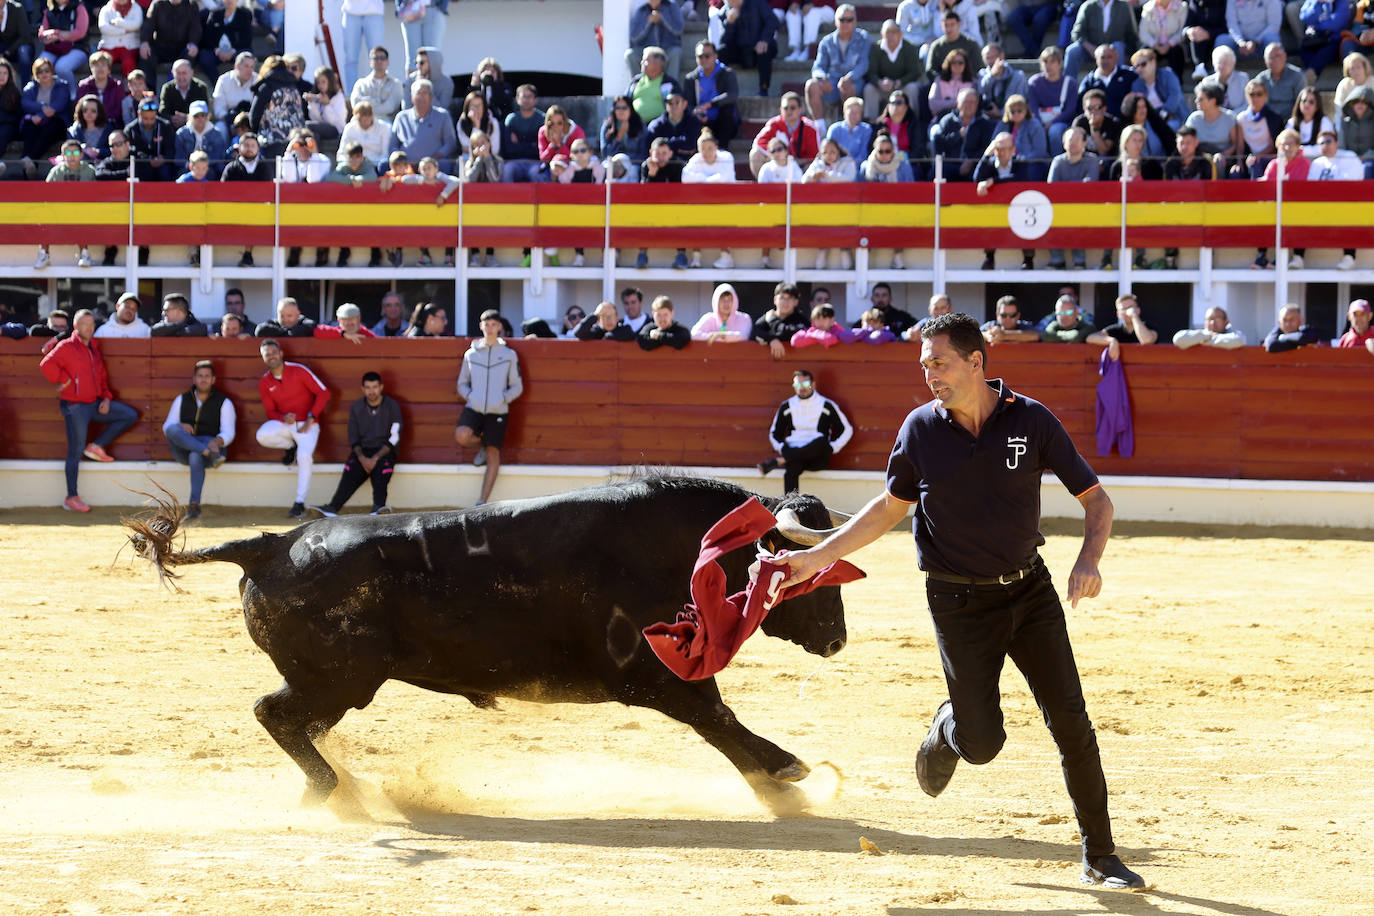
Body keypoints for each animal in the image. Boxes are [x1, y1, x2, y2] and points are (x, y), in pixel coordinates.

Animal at [131, 477, 857, 813]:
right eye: (813, 571)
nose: (838, 639)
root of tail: (274, 544)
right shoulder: (655, 677)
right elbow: (719, 717)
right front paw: (788, 774)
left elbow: (719, 720)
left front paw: (778, 781)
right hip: (337, 681)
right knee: (274, 714)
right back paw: (336, 791)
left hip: (335, 685)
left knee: (289, 721)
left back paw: (337, 790)